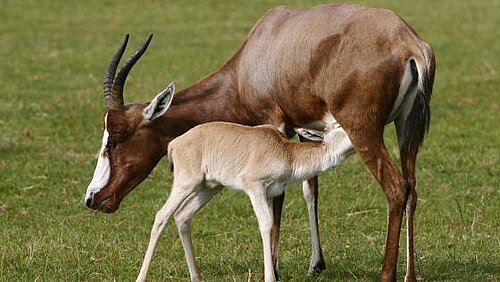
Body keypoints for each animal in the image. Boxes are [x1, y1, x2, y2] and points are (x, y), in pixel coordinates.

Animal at [137, 117, 354, 282]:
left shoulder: (270, 193)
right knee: (162, 216)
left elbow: (274, 224)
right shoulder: (254, 186)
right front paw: (270, 278)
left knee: (182, 216)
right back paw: (141, 277)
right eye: (339, 126)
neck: (287, 154)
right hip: (186, 182)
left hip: (209, 187)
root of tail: (175, 143)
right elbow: (266, 224)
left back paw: (196, 277)